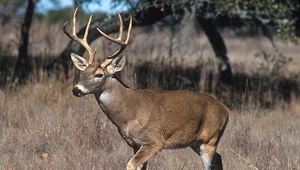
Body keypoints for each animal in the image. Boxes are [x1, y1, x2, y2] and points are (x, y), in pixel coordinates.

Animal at [63, 7, 230, 170]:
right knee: (219, 158)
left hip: (210, 139)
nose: (76, 89)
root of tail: (225, 110)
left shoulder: (154, 141)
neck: (129, 113)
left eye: (99, 74)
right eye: (83, 72)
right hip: (195, 142)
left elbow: (130, 164)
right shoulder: (135, 144)